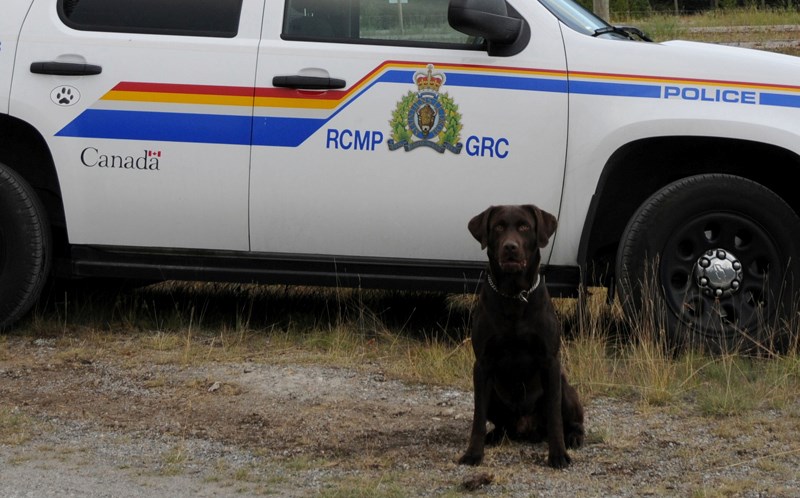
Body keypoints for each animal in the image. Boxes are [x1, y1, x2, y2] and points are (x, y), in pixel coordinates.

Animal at [460, 204, 584, 468]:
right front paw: (473, 453)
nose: (510, 247)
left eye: (525, 226)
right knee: (500, 424)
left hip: (564, 387)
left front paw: (558, 455)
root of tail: (526, 428)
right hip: (494, 394)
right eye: (498, 227)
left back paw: (574, 438)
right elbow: (478, 416)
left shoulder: (550, 362)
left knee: (572, 421)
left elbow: (555, 418)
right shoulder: (482, 365)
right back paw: (494, 435)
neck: (514, 296)